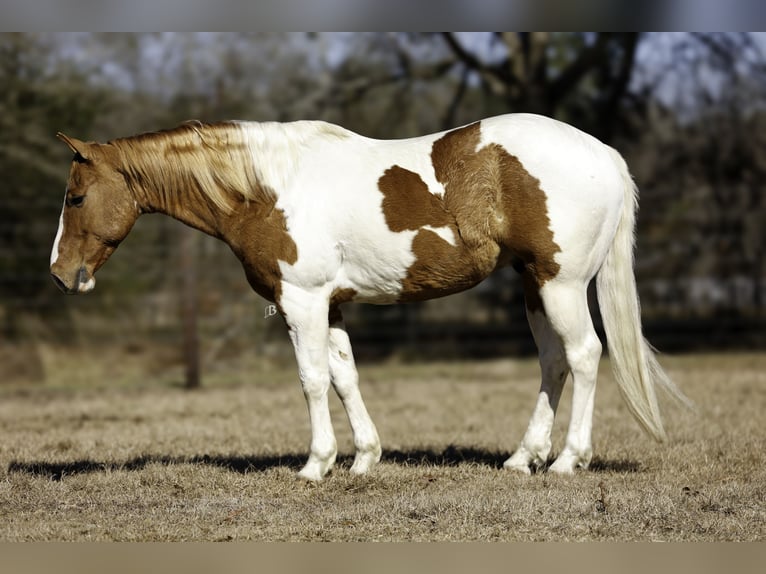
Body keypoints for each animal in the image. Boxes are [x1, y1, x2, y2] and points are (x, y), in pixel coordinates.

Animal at [51, 116, 688, 482]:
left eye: (76, 197)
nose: (61, 275)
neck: (265, 188)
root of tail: (604, 154)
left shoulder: (301, 301)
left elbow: (311, 380)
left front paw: (315, 465)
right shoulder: (330, 304)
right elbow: (344, 376)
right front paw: (363, 458)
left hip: (561, 284)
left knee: (584, 356)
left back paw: (566, 461)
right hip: (535, 285)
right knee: (554, 362)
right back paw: (520, 458)